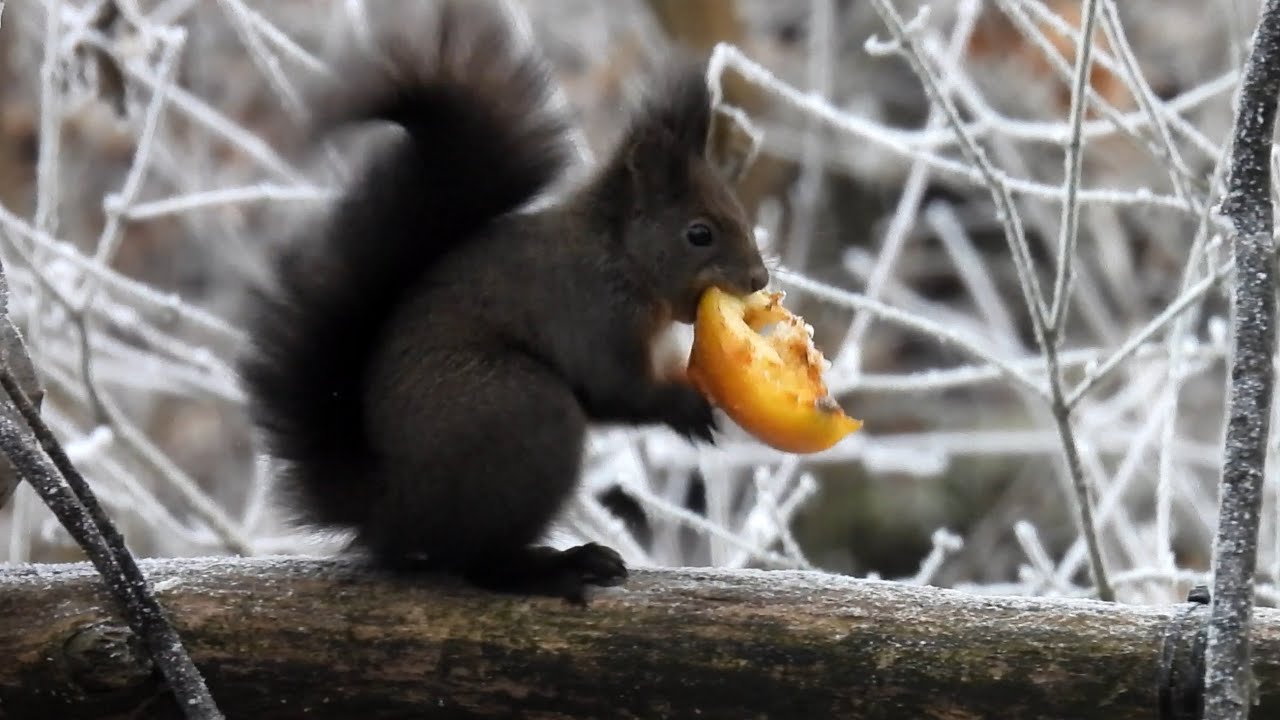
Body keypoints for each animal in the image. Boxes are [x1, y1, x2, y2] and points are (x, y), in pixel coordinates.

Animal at [237, 0, 770, 605]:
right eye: (699, 234)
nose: (758, 278)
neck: (618, 256)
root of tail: (391, 509)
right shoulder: (591, 313)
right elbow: (616, 388)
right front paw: (687, 407)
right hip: (524, 416)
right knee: (478, 564)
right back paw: (560, 567)